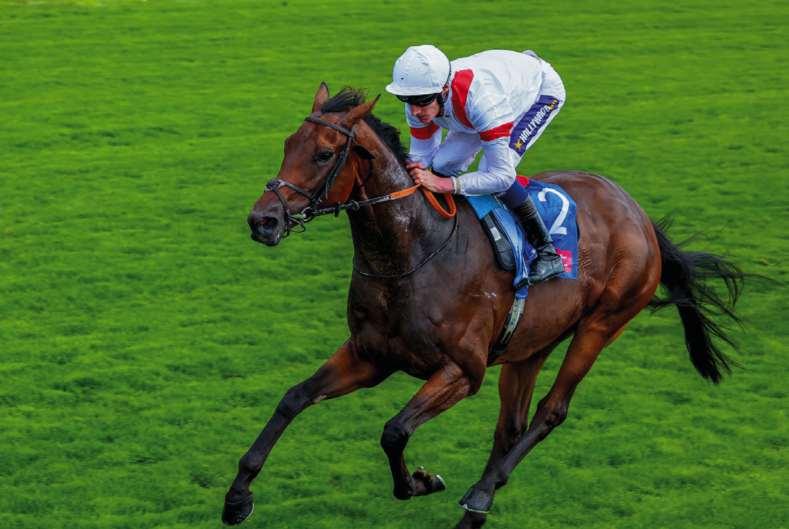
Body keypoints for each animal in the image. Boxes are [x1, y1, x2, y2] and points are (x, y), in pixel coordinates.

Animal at [224, 84, 742, 528]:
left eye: (324, 153)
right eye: (288, 143)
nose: (262, 220)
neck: (413, 254)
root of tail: (639, 215)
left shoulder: (462, 370)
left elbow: (394, 430)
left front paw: (420, 481)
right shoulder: (369, 355)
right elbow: (293, 398)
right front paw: (237, 497)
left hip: (602, 324)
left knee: (551, 411)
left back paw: (479, 493)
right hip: (531, 343)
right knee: (511, 425)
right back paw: (478, 507)